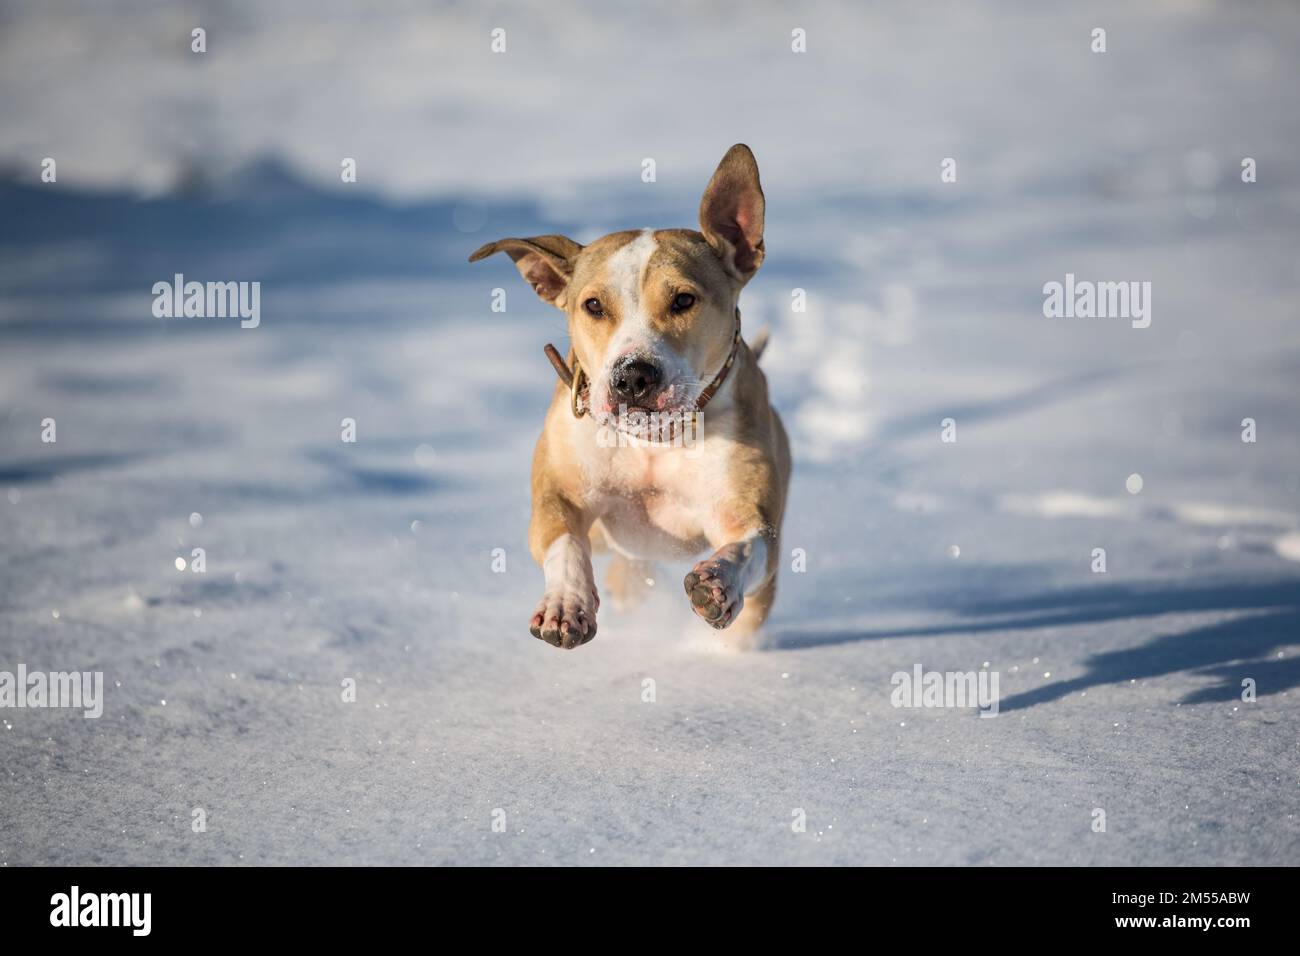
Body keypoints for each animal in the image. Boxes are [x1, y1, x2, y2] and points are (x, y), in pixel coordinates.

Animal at [470, 143, 785, 650]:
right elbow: (564, 543)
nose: (633, 376)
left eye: (683, 300)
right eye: (594, 305)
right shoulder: (558, 494)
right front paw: (566, 604)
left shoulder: (750, 515)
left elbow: (748, 544)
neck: (653, 442)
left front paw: (717, 581)